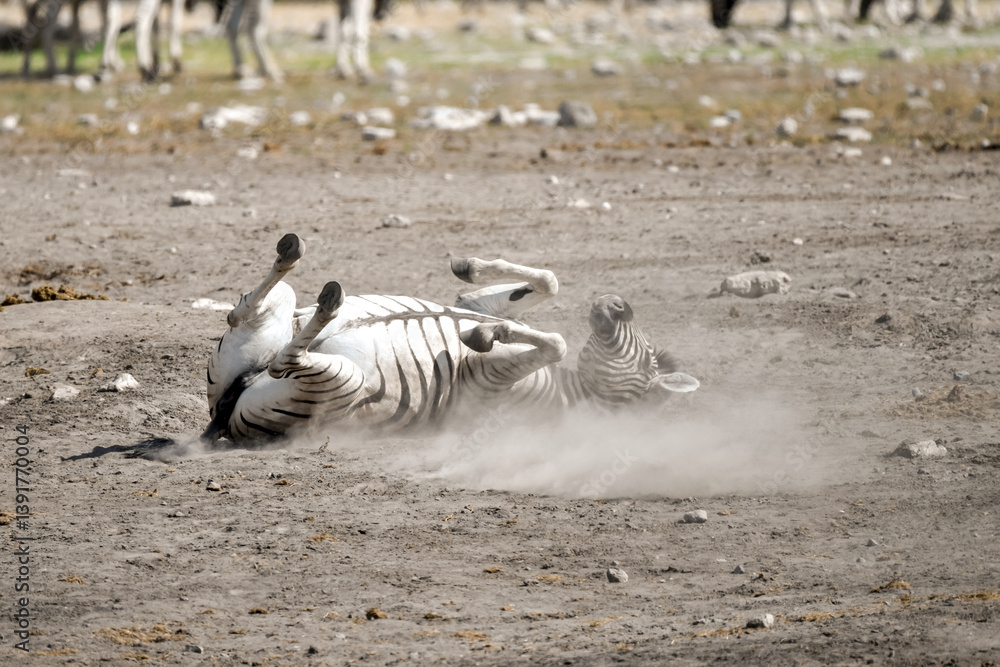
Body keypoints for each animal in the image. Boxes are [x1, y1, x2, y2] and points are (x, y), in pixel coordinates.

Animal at [202, 233, 699, 445]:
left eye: (647, 360)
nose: (617, 305)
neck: (570, 392)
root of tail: (221, 419)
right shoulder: (478, 303)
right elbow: (548, 281)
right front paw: (470, 266)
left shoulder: (484, 385)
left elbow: (554, 341)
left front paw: (487, 334)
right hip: (270, 324)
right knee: (245, 311)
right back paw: (296, 262)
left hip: (343, 383)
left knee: (284, 360)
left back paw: (327, 305)